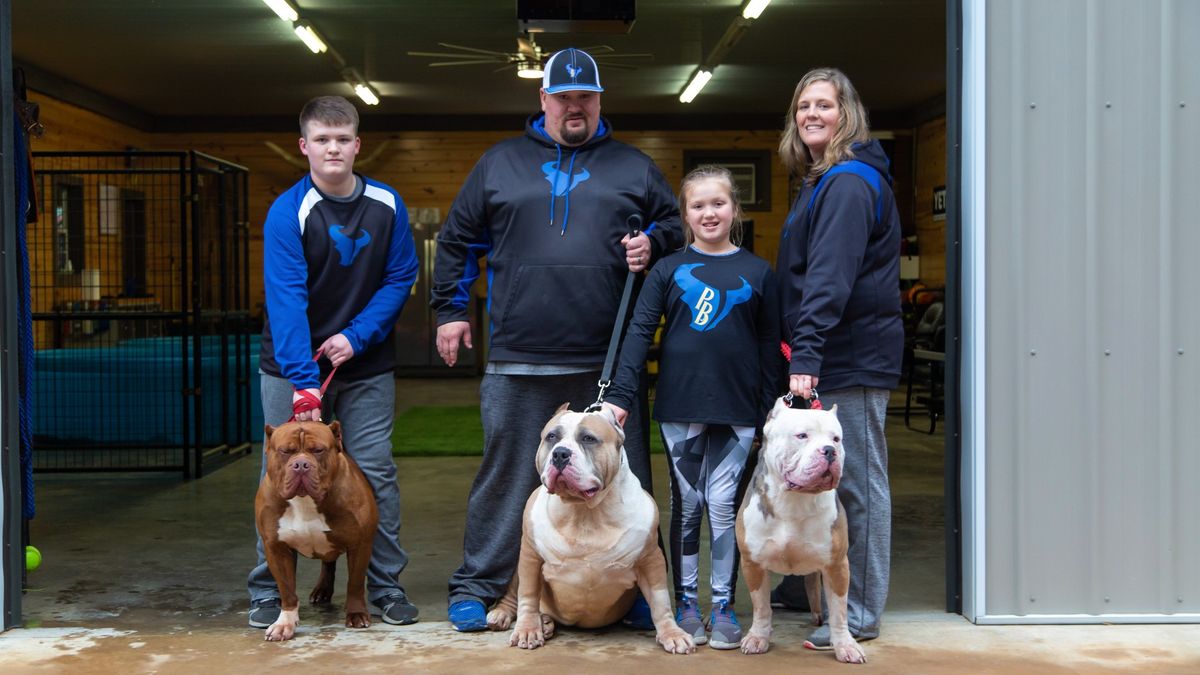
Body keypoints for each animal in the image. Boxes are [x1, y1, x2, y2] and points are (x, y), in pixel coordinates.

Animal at [255, 417, 376, 638]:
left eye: (318, 450)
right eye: (285, 451)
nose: (301, 464)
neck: (304, 501)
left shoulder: (360, 544)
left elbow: (354, 583)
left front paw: (356, 614)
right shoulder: (276, 548)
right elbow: (287, 589)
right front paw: (284, 623)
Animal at [487, 401, 696, 653]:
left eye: (588, 439)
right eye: (551, 437)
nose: (560, 453)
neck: (584, 511)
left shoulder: (651, 559)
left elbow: (660, 601)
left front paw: (672, 633)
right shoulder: (530, 557)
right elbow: (527, 596)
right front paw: (527, 629)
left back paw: (545, 622)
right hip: (518, 567)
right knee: (514, 594)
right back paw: (507, 615)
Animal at [734, 396, 868, 658]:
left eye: (836, 439)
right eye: (802, 436)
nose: (829, 451)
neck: (793, 500)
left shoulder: (837, 564)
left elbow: (839, 611)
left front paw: (845, 645)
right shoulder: (753, 563)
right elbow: (761, 607)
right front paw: (758, 637)